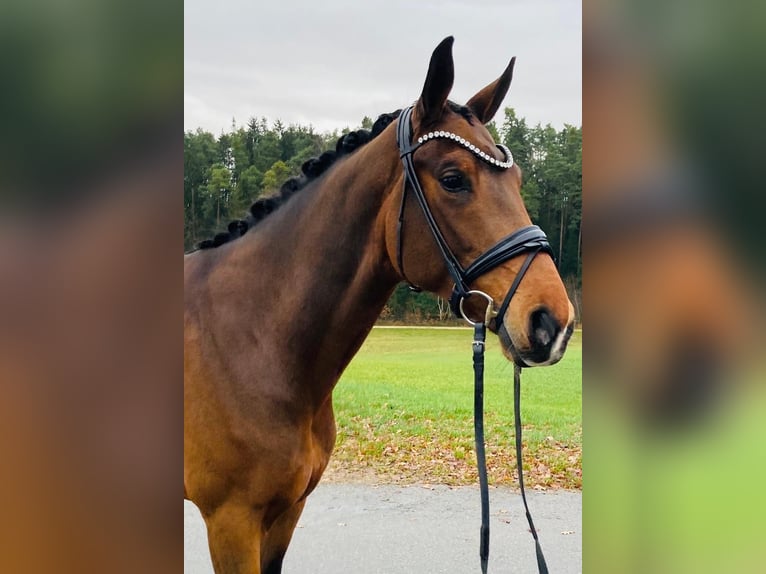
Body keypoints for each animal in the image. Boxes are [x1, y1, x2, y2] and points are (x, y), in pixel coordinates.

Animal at [183, 37, 572, 574]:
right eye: (453, 178)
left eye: (516, 180)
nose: (552, 321)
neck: (252, 342)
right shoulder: (231, 522)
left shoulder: (286, 513)